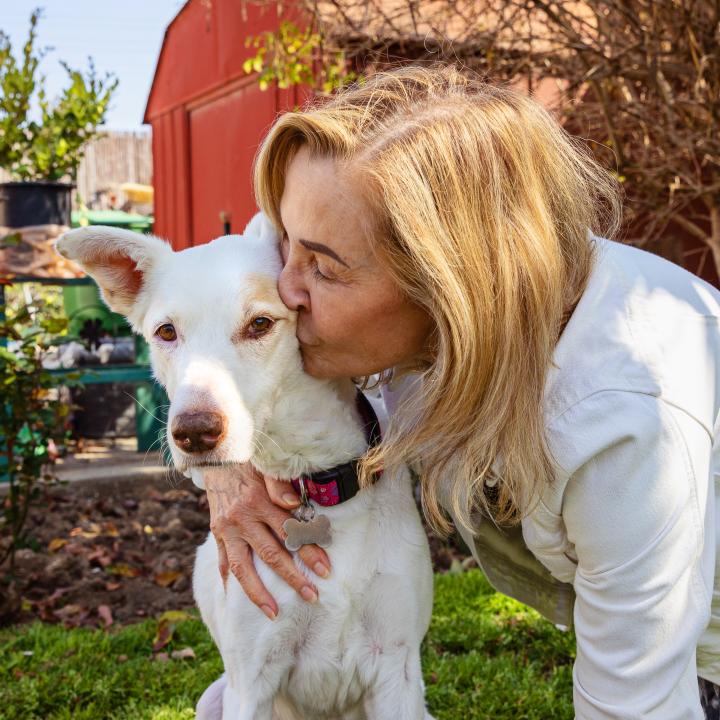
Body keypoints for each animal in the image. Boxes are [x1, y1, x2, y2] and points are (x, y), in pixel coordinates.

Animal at [54, 212, 434, 720]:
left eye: (260, 324)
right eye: (166, 332)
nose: (194, 432)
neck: (312, 485)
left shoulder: (397, 671)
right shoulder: (251, 679)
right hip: (215, 696)